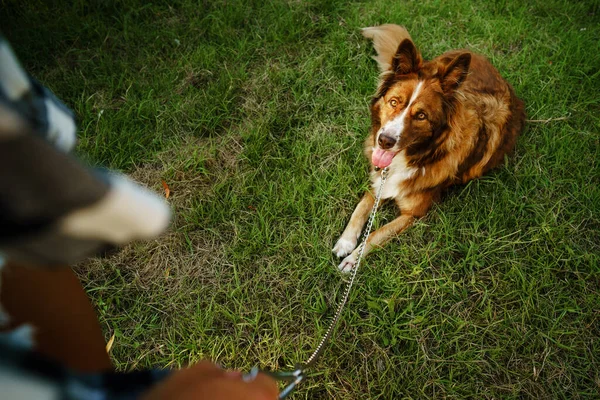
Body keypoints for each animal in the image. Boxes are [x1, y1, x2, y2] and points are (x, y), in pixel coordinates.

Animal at [332, 25, 524, 272]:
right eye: (394, 102)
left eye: (421, 116)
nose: (384, 141)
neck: (418, 156)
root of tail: (478, 55)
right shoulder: (379, 179)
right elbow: (362, 204)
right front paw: (346, 241)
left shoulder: (414, 214)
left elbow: (376, 234)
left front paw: (353, 259)